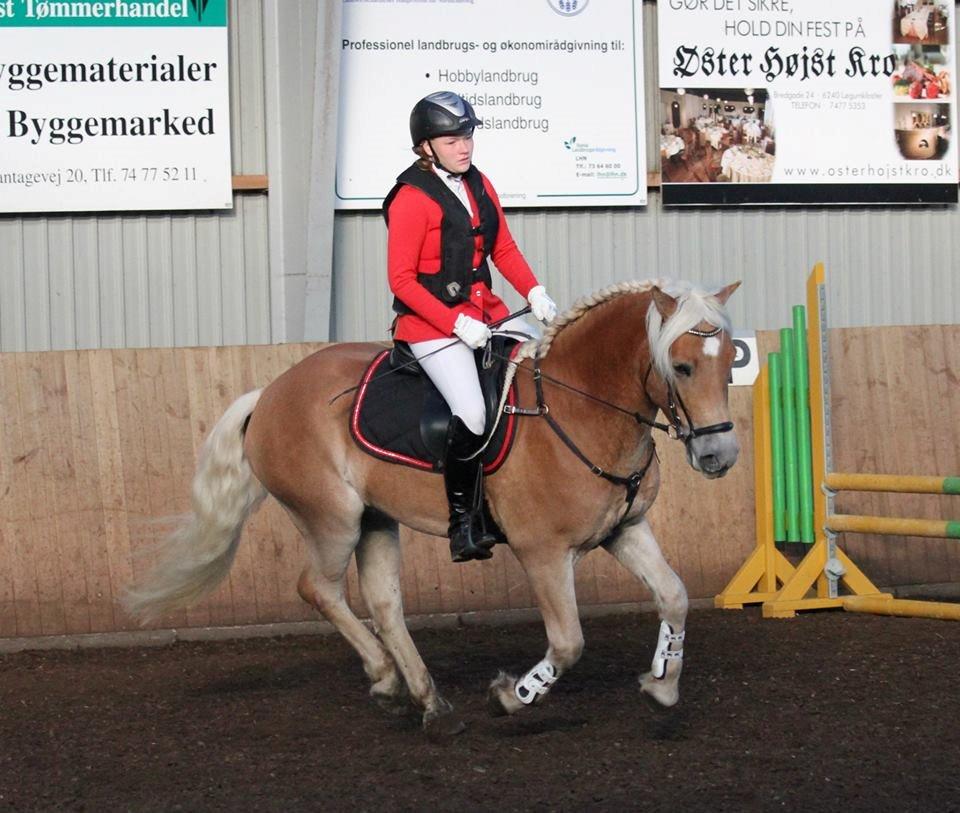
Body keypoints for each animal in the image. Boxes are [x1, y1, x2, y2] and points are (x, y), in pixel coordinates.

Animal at [125, 280, 744, 736]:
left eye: (727, 364)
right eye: (682, 367)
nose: (720, 455)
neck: (579, 406)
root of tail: (271, 393)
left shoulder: (626, 529)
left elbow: (675, 596)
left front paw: (662, 683)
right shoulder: (543, 553)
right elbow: (568, 643)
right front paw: (511, 697)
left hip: (375, 519)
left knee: (384, 602)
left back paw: (427, 701)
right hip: (332, 519)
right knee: (318, 588)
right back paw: (384, 678)